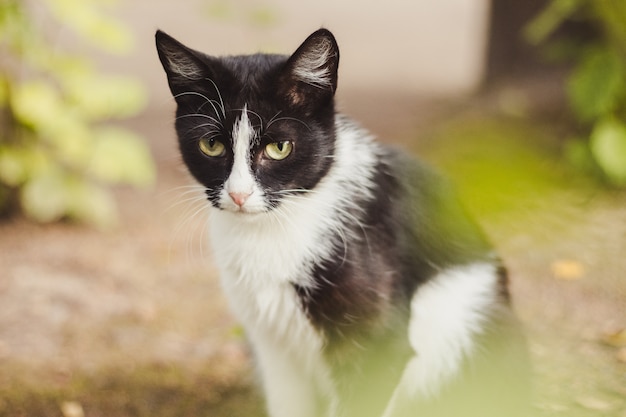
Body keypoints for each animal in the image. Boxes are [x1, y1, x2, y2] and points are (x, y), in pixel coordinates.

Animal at [155, 27, 528, 414]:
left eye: (279, 148)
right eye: (211, 145)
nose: (239, 195)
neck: (276, 227)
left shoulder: (378, 343)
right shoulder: (270, 345)